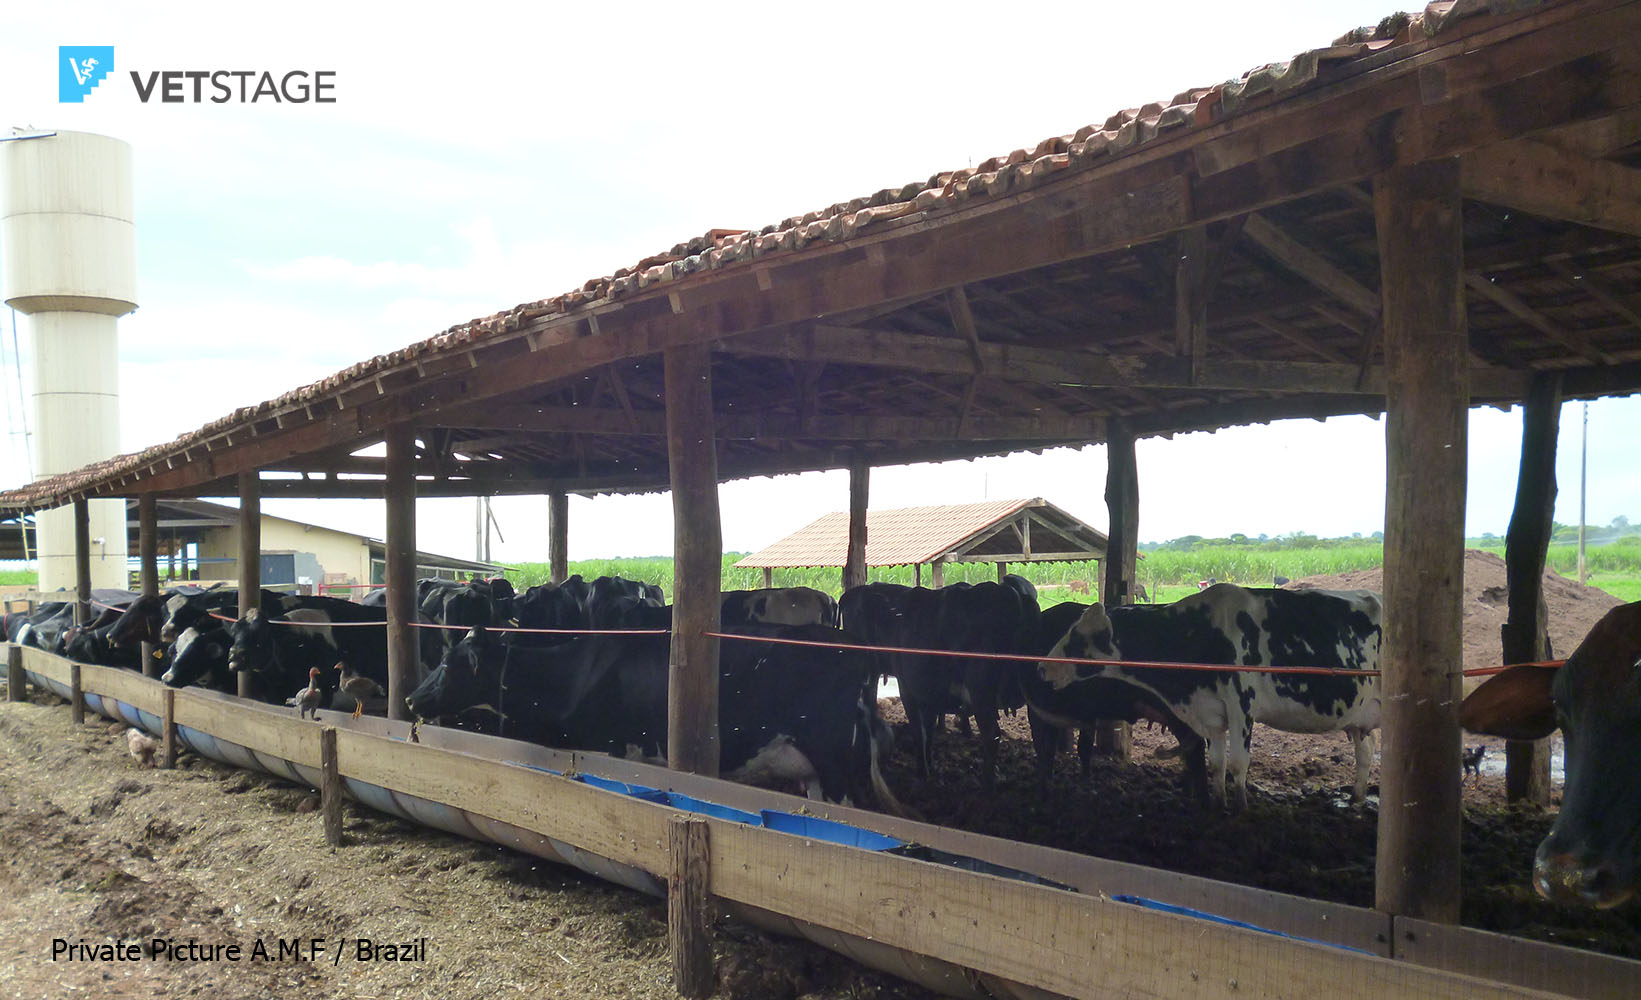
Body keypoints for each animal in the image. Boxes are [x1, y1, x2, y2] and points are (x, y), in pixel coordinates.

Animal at [403, 623, 905, 811]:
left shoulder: (610, 750)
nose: (409, 698)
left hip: (836, 761)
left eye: (448, 663)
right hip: (814, 771)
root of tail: (848, 642)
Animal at [1037, 584, 1385, 811]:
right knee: (1365, 752)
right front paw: (1218, 806)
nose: (1041, 667)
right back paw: (1355, 800)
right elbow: (1217, 765)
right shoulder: (1212, 715)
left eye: (1078, 638)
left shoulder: (1241, 706)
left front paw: (1241, 810)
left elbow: (1238, 764)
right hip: (1361, 717)